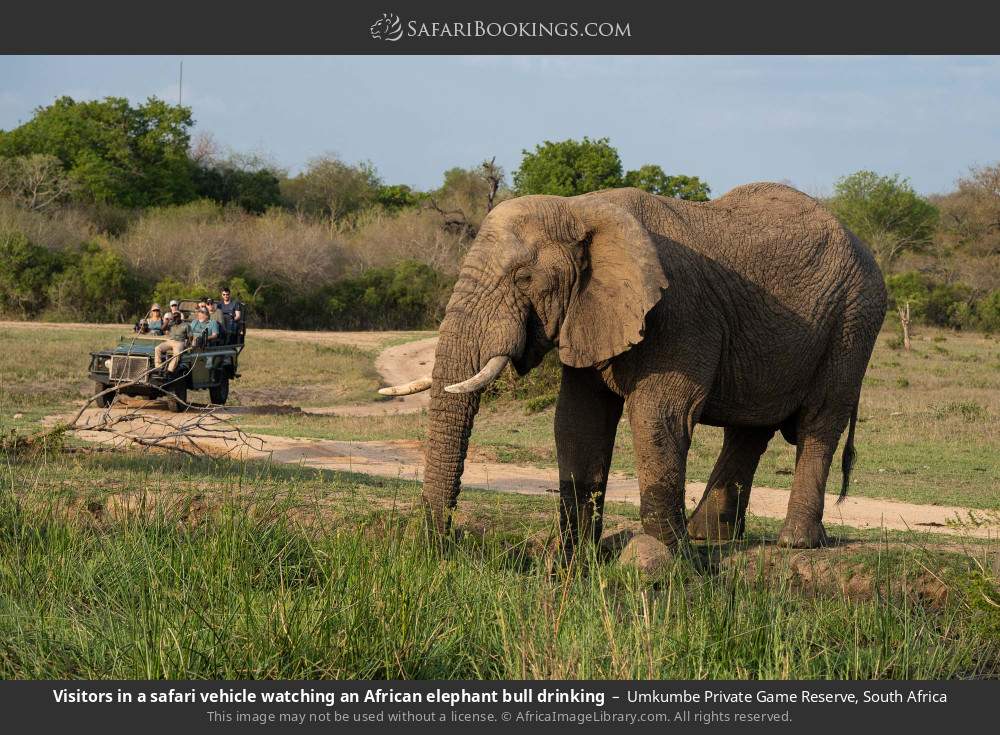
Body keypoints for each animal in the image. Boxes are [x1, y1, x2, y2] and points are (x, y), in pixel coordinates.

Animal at [380, 184, 887, 559]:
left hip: (854, 320)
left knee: (820, 421)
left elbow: (660, 414)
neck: (581, 209)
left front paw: (665, 558)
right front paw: (571, 556)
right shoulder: (592, 312)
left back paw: (795, 542)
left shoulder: (679, 312)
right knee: (750, 429)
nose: (440, 544)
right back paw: (709, 538)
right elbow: (578, 421)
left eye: (524, 279)